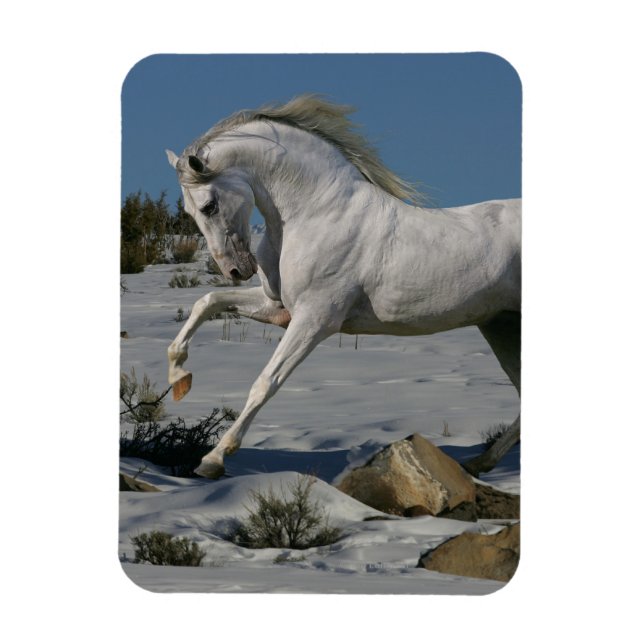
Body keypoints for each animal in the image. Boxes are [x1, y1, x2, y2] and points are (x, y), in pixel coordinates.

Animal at [165, 95, 521, 479]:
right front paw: (179, 377)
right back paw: (479, 463)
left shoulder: (316, 319)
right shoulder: (277, 306)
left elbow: (265, 383)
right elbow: (207, 301)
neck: (317, 212)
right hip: (501, 326)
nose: (236, 269)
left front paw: (212, 460)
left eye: (209, 206)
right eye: (190, 212)